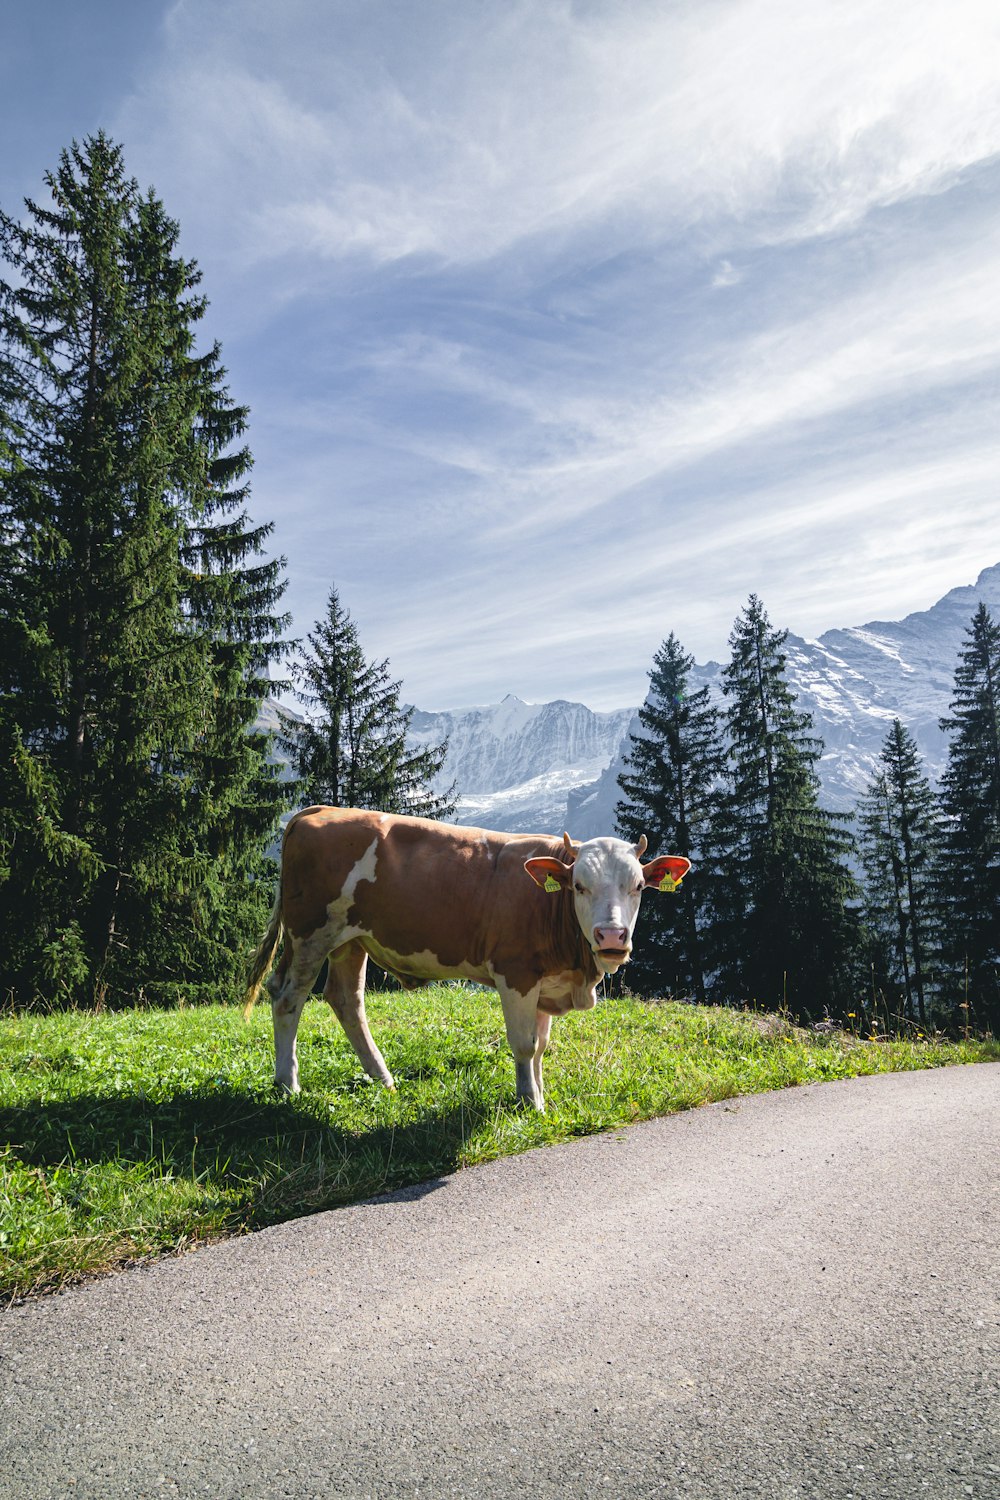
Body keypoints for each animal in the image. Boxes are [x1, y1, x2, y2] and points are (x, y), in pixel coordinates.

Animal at [245, 810, 692, 1116]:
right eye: (579, 886)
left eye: (639, 886)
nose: (612, 937)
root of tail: (319, 810)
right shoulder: (516, 972)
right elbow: (525, 1044)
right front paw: (529, 1103)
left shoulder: (547, 980)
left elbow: (542, 1046)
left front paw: (540, 1093)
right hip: (310, 933)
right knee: (287, 996)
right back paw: (287, 1085)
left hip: (351, 940)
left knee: (346, 1000)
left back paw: (382, 1079)